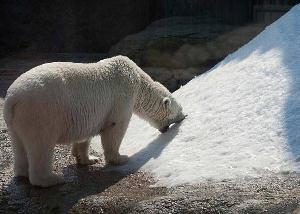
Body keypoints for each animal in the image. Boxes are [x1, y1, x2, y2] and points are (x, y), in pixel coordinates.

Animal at [2, 55, 185, 187]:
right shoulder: (121, 96)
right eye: (179, 109)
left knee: (19, 145)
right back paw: (52, 179)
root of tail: (12, 98)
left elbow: (85, 134)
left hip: (16, 121)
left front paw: (88, 159)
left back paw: (22, 172)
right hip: (40, 112)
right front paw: (120, 158)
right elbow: (115, 127)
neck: (138, 81)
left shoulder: (88, 113)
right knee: (41, 144)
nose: (184, 117)